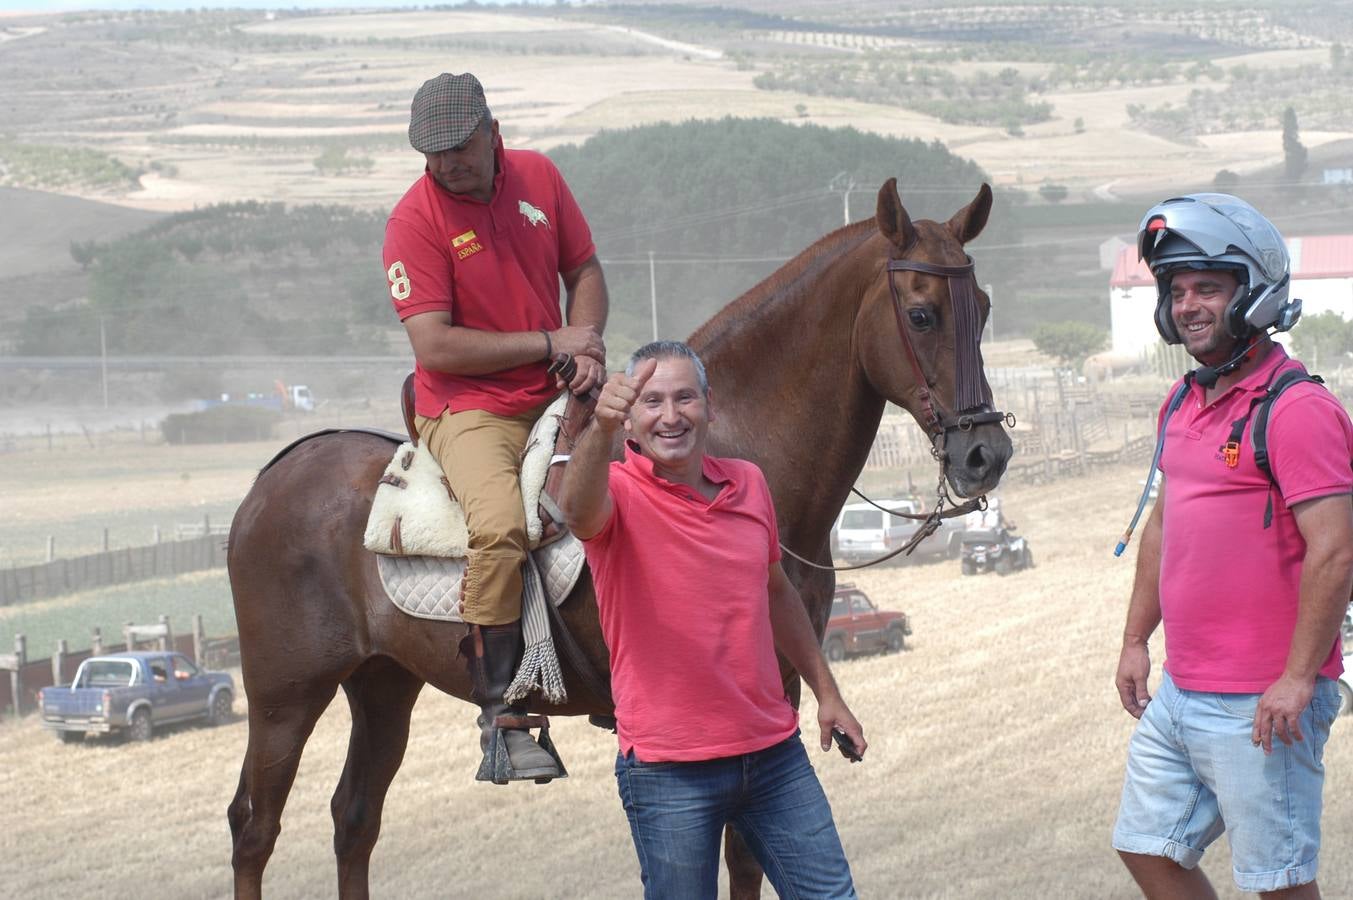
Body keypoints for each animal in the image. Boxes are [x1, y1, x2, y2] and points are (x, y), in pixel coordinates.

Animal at [227, 178, 1012, 893]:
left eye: (983, 308)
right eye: (921, 314)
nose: (985, 454)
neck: (727, 444)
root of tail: (267, 485)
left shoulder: (779, 686)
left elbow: (748, 856)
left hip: (383, 684)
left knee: (354, 819)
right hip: (285, 696)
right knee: (254, 826)